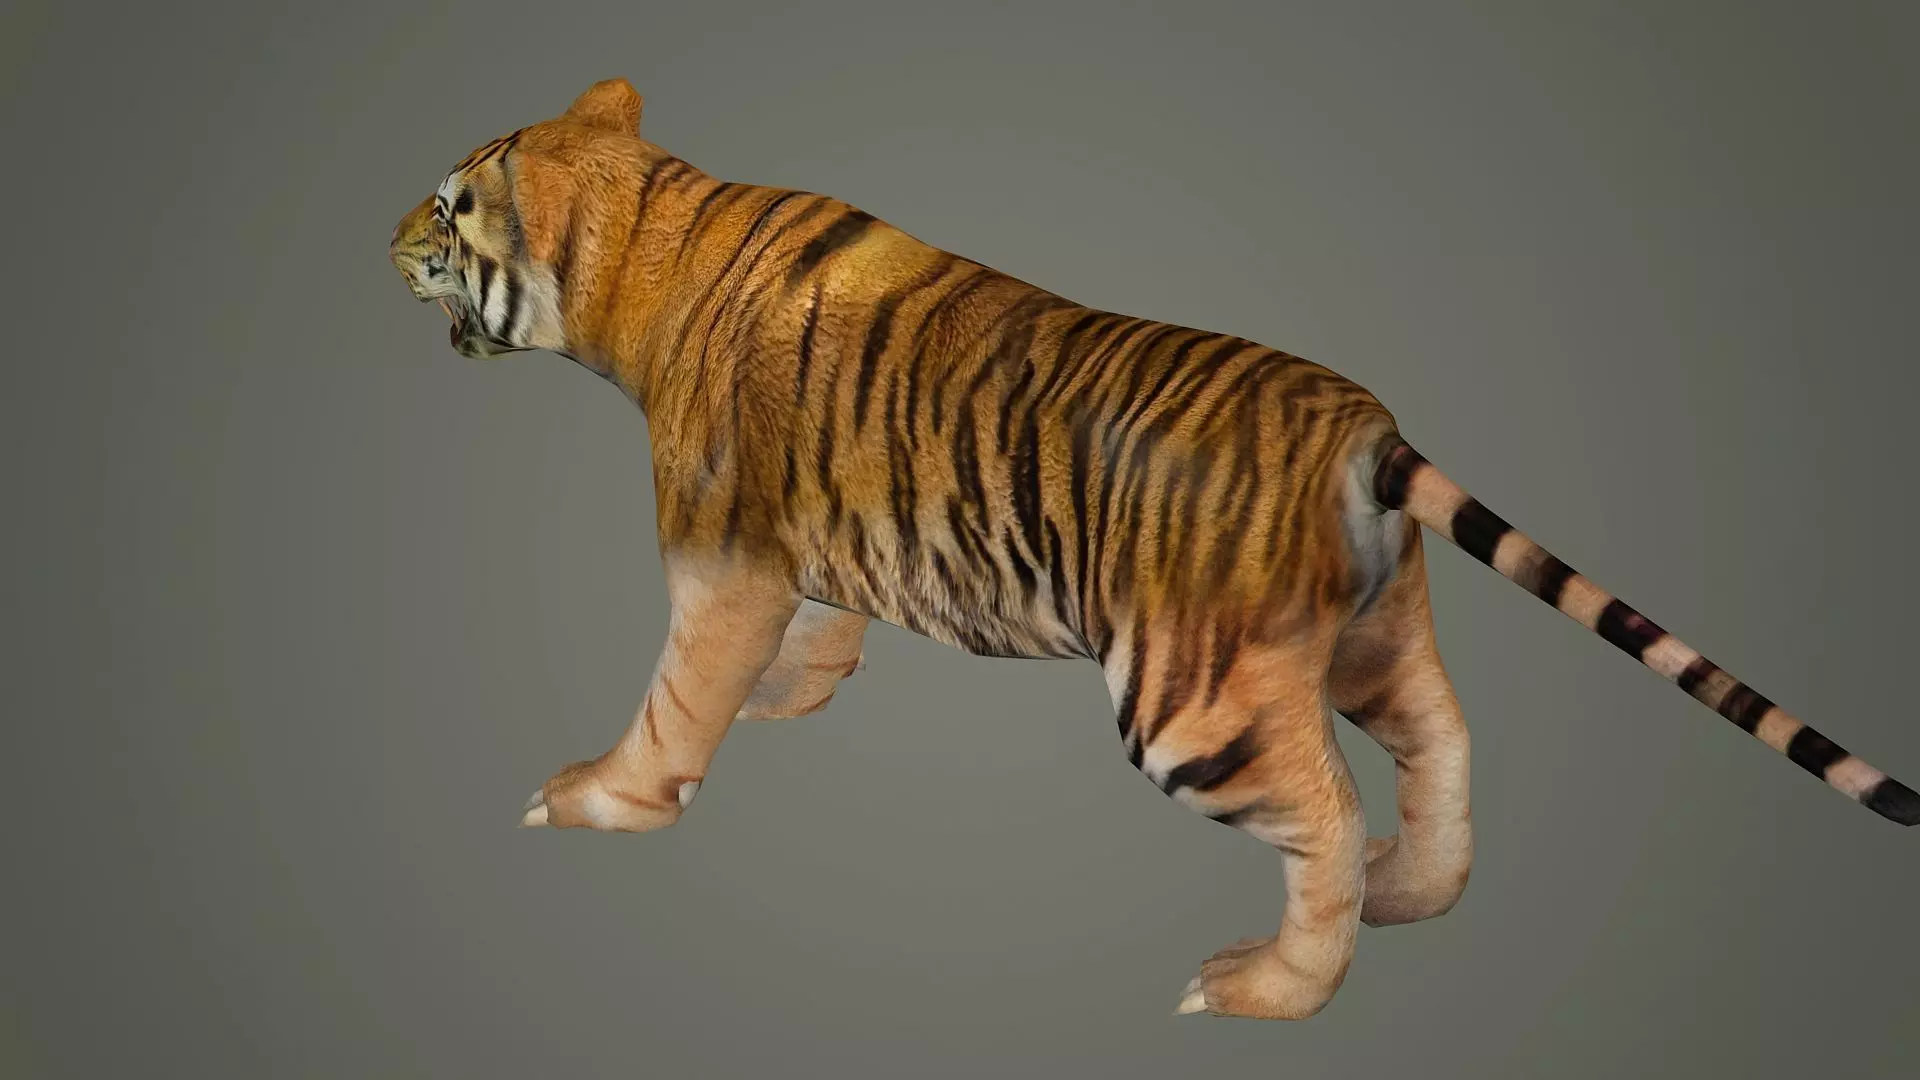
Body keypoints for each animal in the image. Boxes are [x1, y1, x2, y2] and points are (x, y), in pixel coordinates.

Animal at [387, 78, 1917, 1021]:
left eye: (453, 208)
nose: (388, 237)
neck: (641, 240)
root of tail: (1362, 427)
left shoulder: (716, 552)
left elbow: (673, 697)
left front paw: (597, 797)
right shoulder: (808, 542)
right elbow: (817, 628)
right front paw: (789, 694)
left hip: (1194, 696)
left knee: (1326, 810)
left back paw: (1266, 987)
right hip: (1370, 633)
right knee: (1444, 737)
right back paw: (1414, 894)